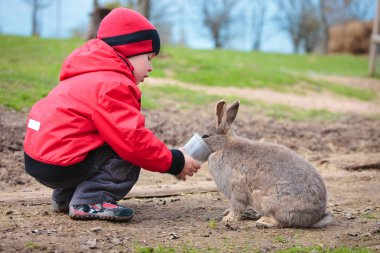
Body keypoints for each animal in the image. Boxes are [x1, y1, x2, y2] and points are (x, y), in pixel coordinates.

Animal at [202, 100, 332, 228]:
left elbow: (237, 207)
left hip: (269, 201)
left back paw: (264, 221)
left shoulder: (237, 190)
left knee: (282, 221)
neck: (223, 145)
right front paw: (226, 213)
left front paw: (228, 218)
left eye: (205, 136)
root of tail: (315, 218)